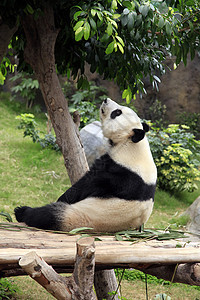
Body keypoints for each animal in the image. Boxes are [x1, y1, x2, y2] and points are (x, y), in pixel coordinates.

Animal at [14, 98, 157, 232]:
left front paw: (62, 197)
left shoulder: (119, 172)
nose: (106, 100)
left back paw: (22, 211)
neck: (130, 145)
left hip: (77, 216)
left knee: (48, 215)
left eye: (117, 112)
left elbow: (85, 186)